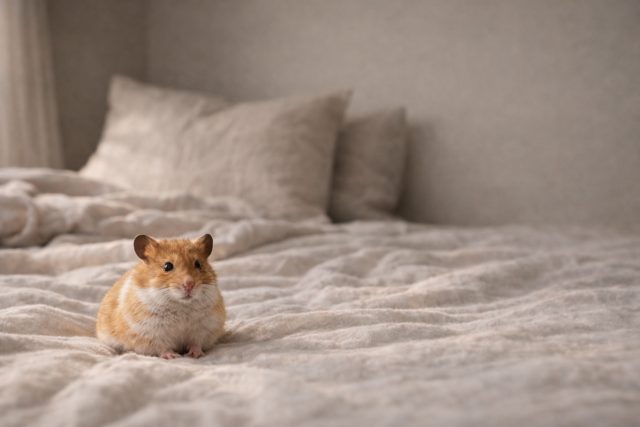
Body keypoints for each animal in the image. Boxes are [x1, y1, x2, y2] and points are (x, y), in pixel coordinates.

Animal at [96, 234, 226, 359]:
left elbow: (196, 343)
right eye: (167, 266)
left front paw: (195, 354)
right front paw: (172, 356)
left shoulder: (204, 329)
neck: (181, 305)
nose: (189, 285)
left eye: (198, 264)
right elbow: (163, 348)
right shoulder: (151, 333)